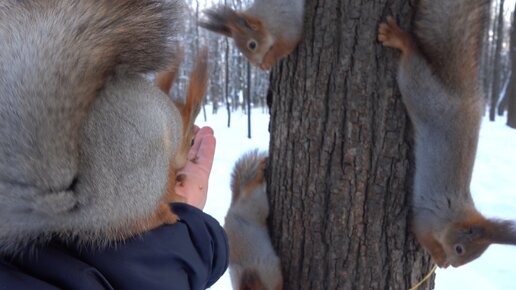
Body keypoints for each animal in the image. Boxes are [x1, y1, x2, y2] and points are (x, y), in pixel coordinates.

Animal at [376, 0, 516, 268]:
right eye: (460, 249)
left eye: (472, 258)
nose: (451, 264)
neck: (455, 215)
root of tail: (461, 98)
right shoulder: (427, 216)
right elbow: (420, 232)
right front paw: (438, 256)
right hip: (422, 94)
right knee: (412, 62)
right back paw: (399, 38)